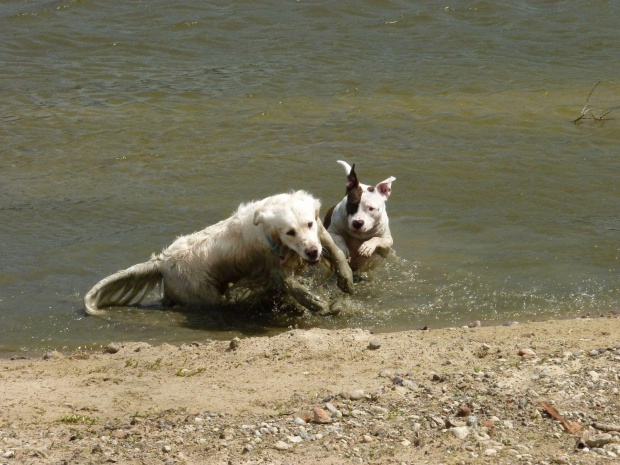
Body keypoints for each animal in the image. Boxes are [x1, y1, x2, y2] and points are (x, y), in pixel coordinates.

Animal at [86, 189, 354, 316]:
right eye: (290, 232)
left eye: (308, 224)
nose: (311, 252)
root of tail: (162, 262)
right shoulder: (270, 265)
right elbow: (290, 284)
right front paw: (315, 303)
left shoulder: (320, 233)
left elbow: (335, 251)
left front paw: (346, 279)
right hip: (204, 294)